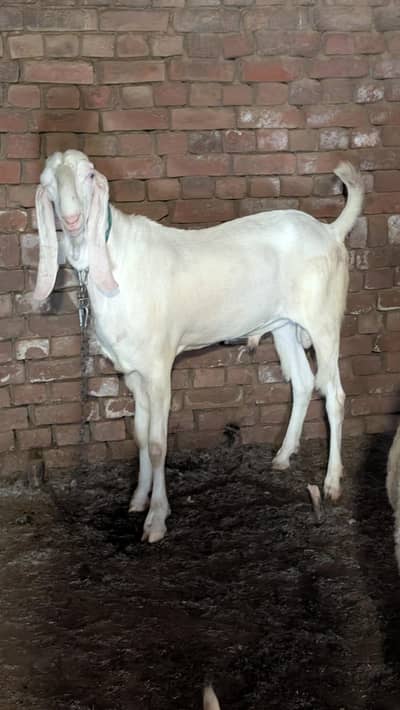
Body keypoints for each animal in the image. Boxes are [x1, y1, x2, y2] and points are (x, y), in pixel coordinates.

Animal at [33, 150, 364, 543]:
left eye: (88, 175)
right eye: (48, 182)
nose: (71, 219)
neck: (117, 262)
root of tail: (329, 231)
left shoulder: (159, 367)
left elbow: (158, 444)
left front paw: (156, 519)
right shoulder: (134, 372)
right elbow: (140, 436)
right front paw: (138, 499)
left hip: (324, 322)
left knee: (335, 394)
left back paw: (331, 483)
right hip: (285, 326)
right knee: (302, 382)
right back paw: (283, 457)